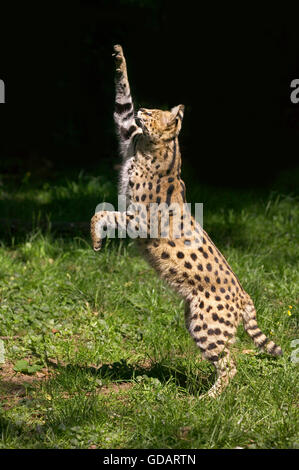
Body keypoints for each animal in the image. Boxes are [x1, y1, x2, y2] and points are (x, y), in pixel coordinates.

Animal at [90, 45, 282, 396]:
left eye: (152, 113)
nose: (142, 110)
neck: (152, 147)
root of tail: (245, 295)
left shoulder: (140, 222)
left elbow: (103, 213)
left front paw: (96, 237)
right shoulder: (126, 131)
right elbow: (122, 98)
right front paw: (118, 58)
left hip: (206, 325)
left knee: (230, 365)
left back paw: (209, 399)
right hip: (194, 319)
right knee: (229, 362)